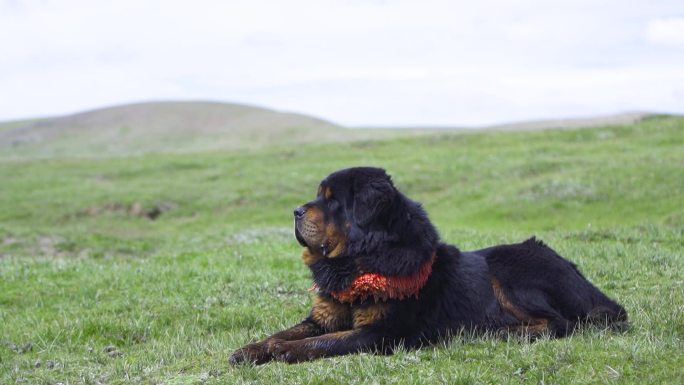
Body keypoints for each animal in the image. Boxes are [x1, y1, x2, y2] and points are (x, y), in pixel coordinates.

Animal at [230, 166, 624, 364]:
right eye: (316, 197)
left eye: (331, 201)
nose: (296, 211)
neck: (358, 260)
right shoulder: (323, 315)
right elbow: (287, 331)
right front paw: (252, 349)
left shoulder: (384, 332)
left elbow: (327, 341)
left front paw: (286, 352)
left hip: (508, 268)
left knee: (559, 323)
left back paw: (503, 332)